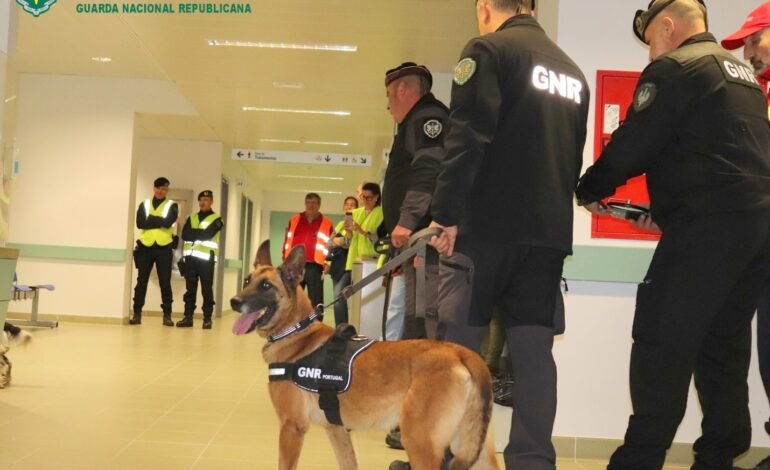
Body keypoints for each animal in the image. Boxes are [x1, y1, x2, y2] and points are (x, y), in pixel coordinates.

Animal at [230, 242, 498, 470]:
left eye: (266, 286)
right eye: (248, 280)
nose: (234, 301)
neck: (298, 332)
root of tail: (461, 352)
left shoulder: (291, 428)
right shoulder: (336, 430)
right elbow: (348, 462)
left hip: (420, 444)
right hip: (476, 450)